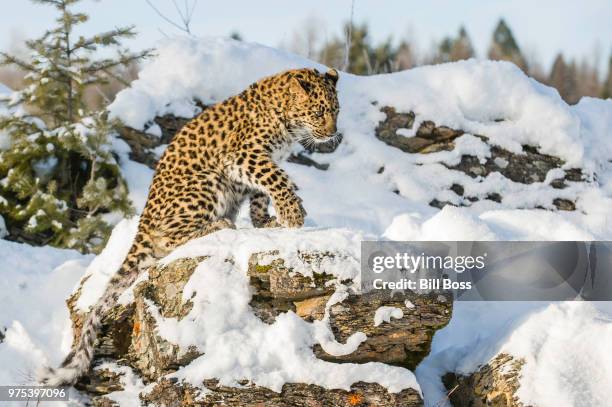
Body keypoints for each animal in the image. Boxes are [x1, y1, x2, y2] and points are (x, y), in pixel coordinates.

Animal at [40, 66, 342, 386]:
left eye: (336, 111)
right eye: (319, 112)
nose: (332, 133)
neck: (285, 118)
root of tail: (142, 224)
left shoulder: (259, 164)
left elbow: (260, 195)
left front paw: (266, 221)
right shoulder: (244, 156)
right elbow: (276, 178)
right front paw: (292, 212)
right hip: (207, 181)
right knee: (165, 240)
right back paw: (217, 225)